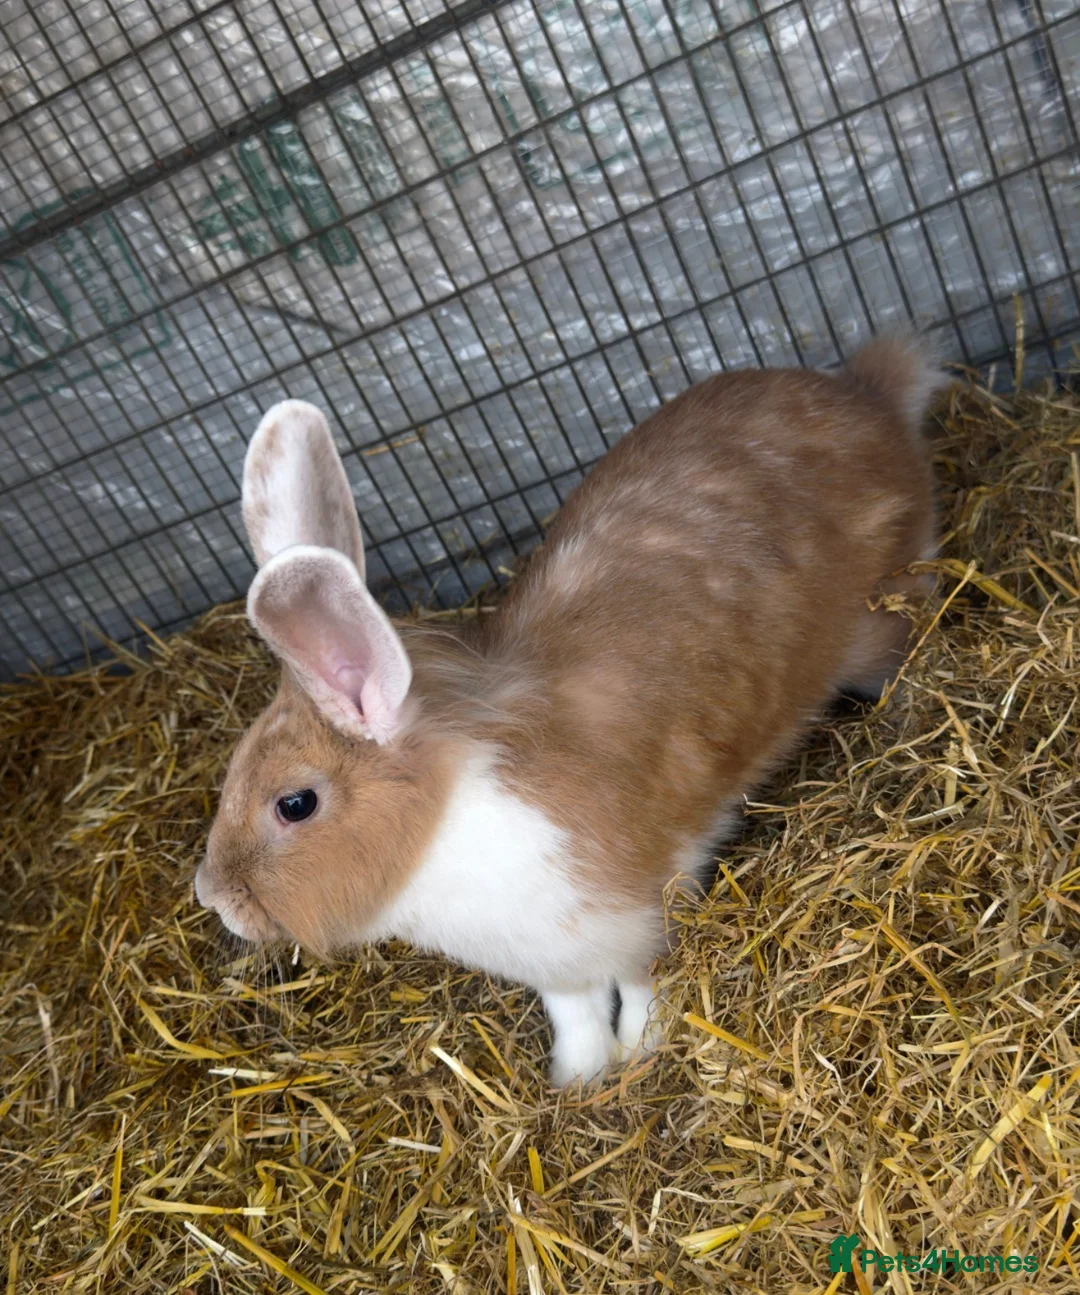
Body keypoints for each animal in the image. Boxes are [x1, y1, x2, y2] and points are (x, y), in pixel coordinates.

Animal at [195, 335, 942, 1087]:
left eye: (295, 804)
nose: (213, 898)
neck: (445, 826)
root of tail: (869, 397)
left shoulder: (642, 910)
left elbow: (643, 986)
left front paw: (641, 1054)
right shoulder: (555, 966)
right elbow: (576, 1014)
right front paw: (577, 1080)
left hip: (879, 622)